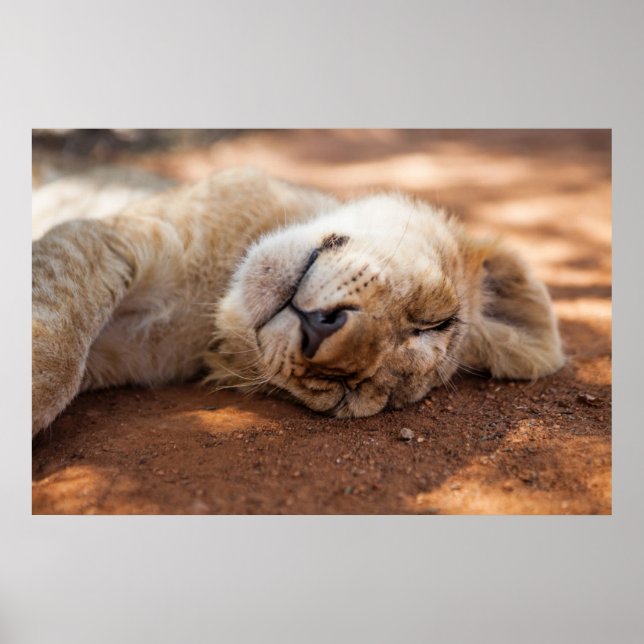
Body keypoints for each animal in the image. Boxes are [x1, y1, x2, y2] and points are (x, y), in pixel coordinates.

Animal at [32, 166, 564, 436]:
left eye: (345, 392)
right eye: (433, 320)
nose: (318, 328)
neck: (214, 293)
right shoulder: (110, 234)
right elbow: (56, 362)